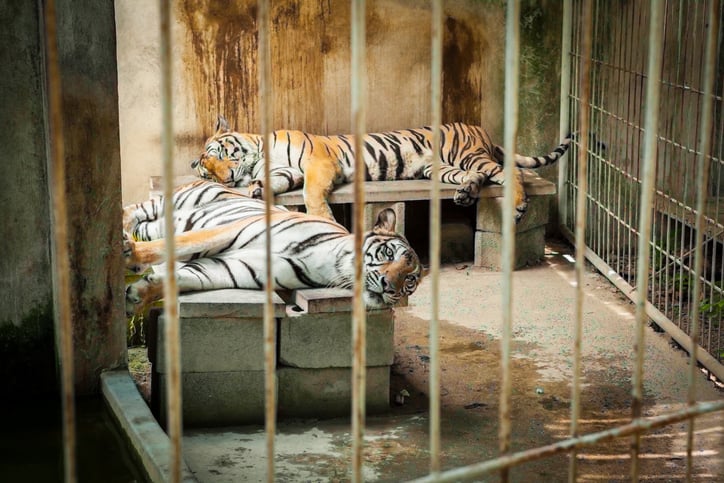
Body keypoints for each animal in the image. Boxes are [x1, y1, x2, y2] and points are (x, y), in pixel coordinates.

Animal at [123, 180, 422, 315]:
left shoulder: (234, 268)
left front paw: (139, 294)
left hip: (157, 224)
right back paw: (123, 234)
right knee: (135, 208)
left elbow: (185, 277)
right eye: (388, 253)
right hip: (174, 202)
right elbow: (179, 245)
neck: (331, 264)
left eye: (409, 282)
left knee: (144, 224)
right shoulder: (227, 231)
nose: (390, 287)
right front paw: (133, 255)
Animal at [192, 116, 571, 222]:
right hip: (440, 169)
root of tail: (481, 129)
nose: (227, 178)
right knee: (476, 176)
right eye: (207, 173)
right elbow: (274, 181)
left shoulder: (318, 164)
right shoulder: (290, 171)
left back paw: (519, 205)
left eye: (219, 153)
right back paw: (465, 195)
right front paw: (257, 189)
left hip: (467, 155)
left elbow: (311, 194)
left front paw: (323, 218)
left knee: (510, 172)